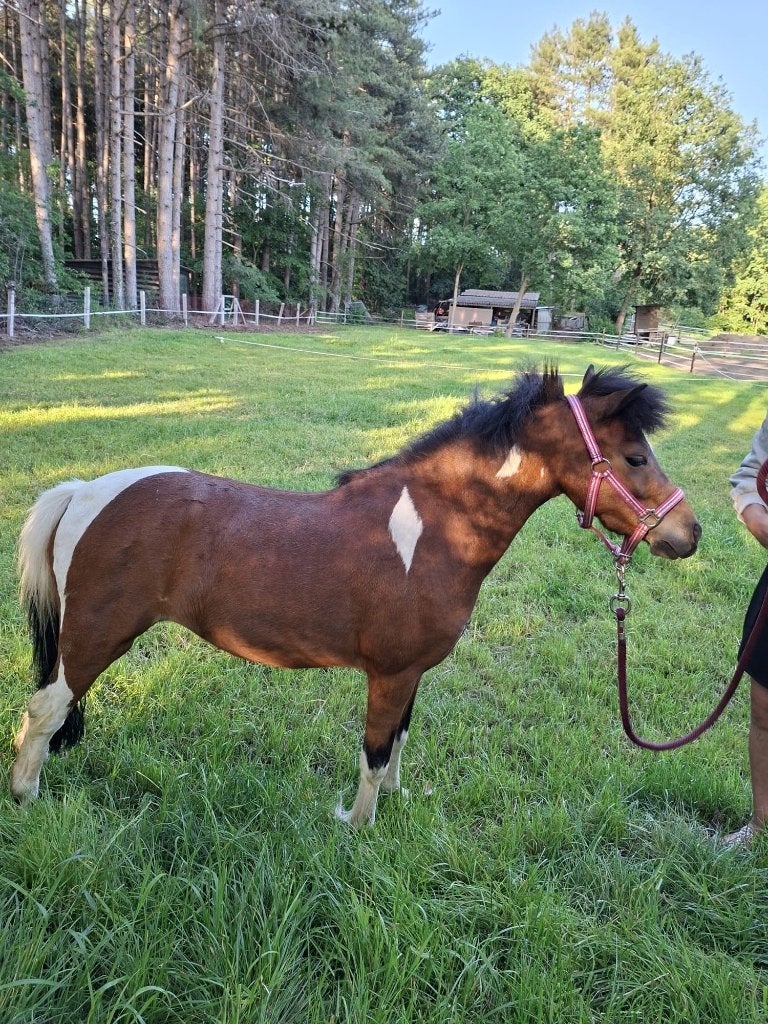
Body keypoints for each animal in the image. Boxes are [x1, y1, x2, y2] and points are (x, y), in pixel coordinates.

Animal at [10, 365, 701, 824]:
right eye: (634, 457)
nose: (687, 535)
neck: (435, 528)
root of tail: (84, 491)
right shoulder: (389, 673)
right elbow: (373, 749)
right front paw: (360, 826)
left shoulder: (413, 672)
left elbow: (397, 742)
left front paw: (395, 805)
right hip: (95, 636)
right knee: (44, 710)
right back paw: (25, 798)